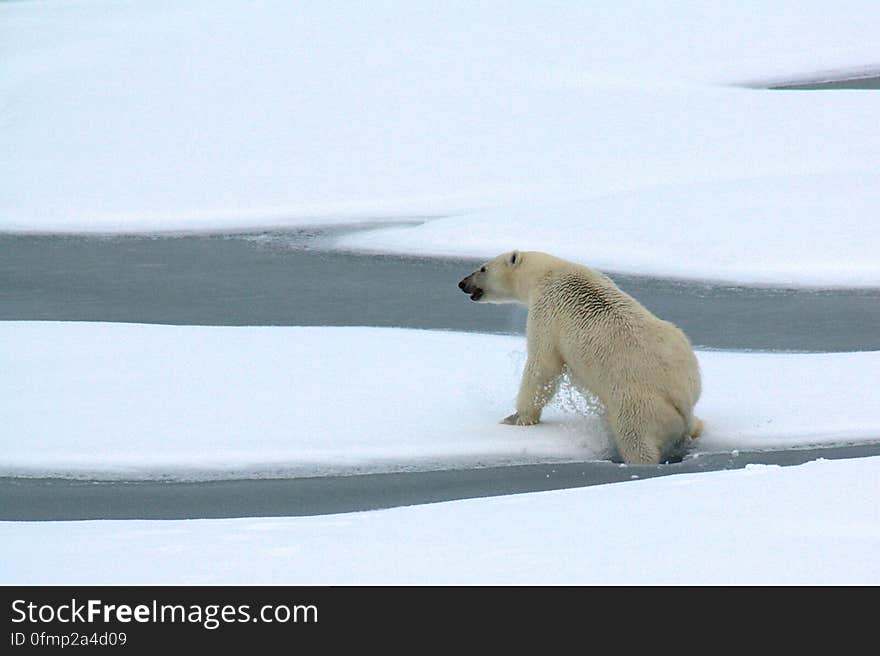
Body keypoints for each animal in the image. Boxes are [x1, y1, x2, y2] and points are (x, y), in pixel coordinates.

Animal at [460, 251, 700, 466]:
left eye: (482, 268)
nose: (462, 283)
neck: (548, 272)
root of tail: (680, 397)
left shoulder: (546, 311)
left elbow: (543, 366)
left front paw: (516, 417)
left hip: (638, 404)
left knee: (635, 439)